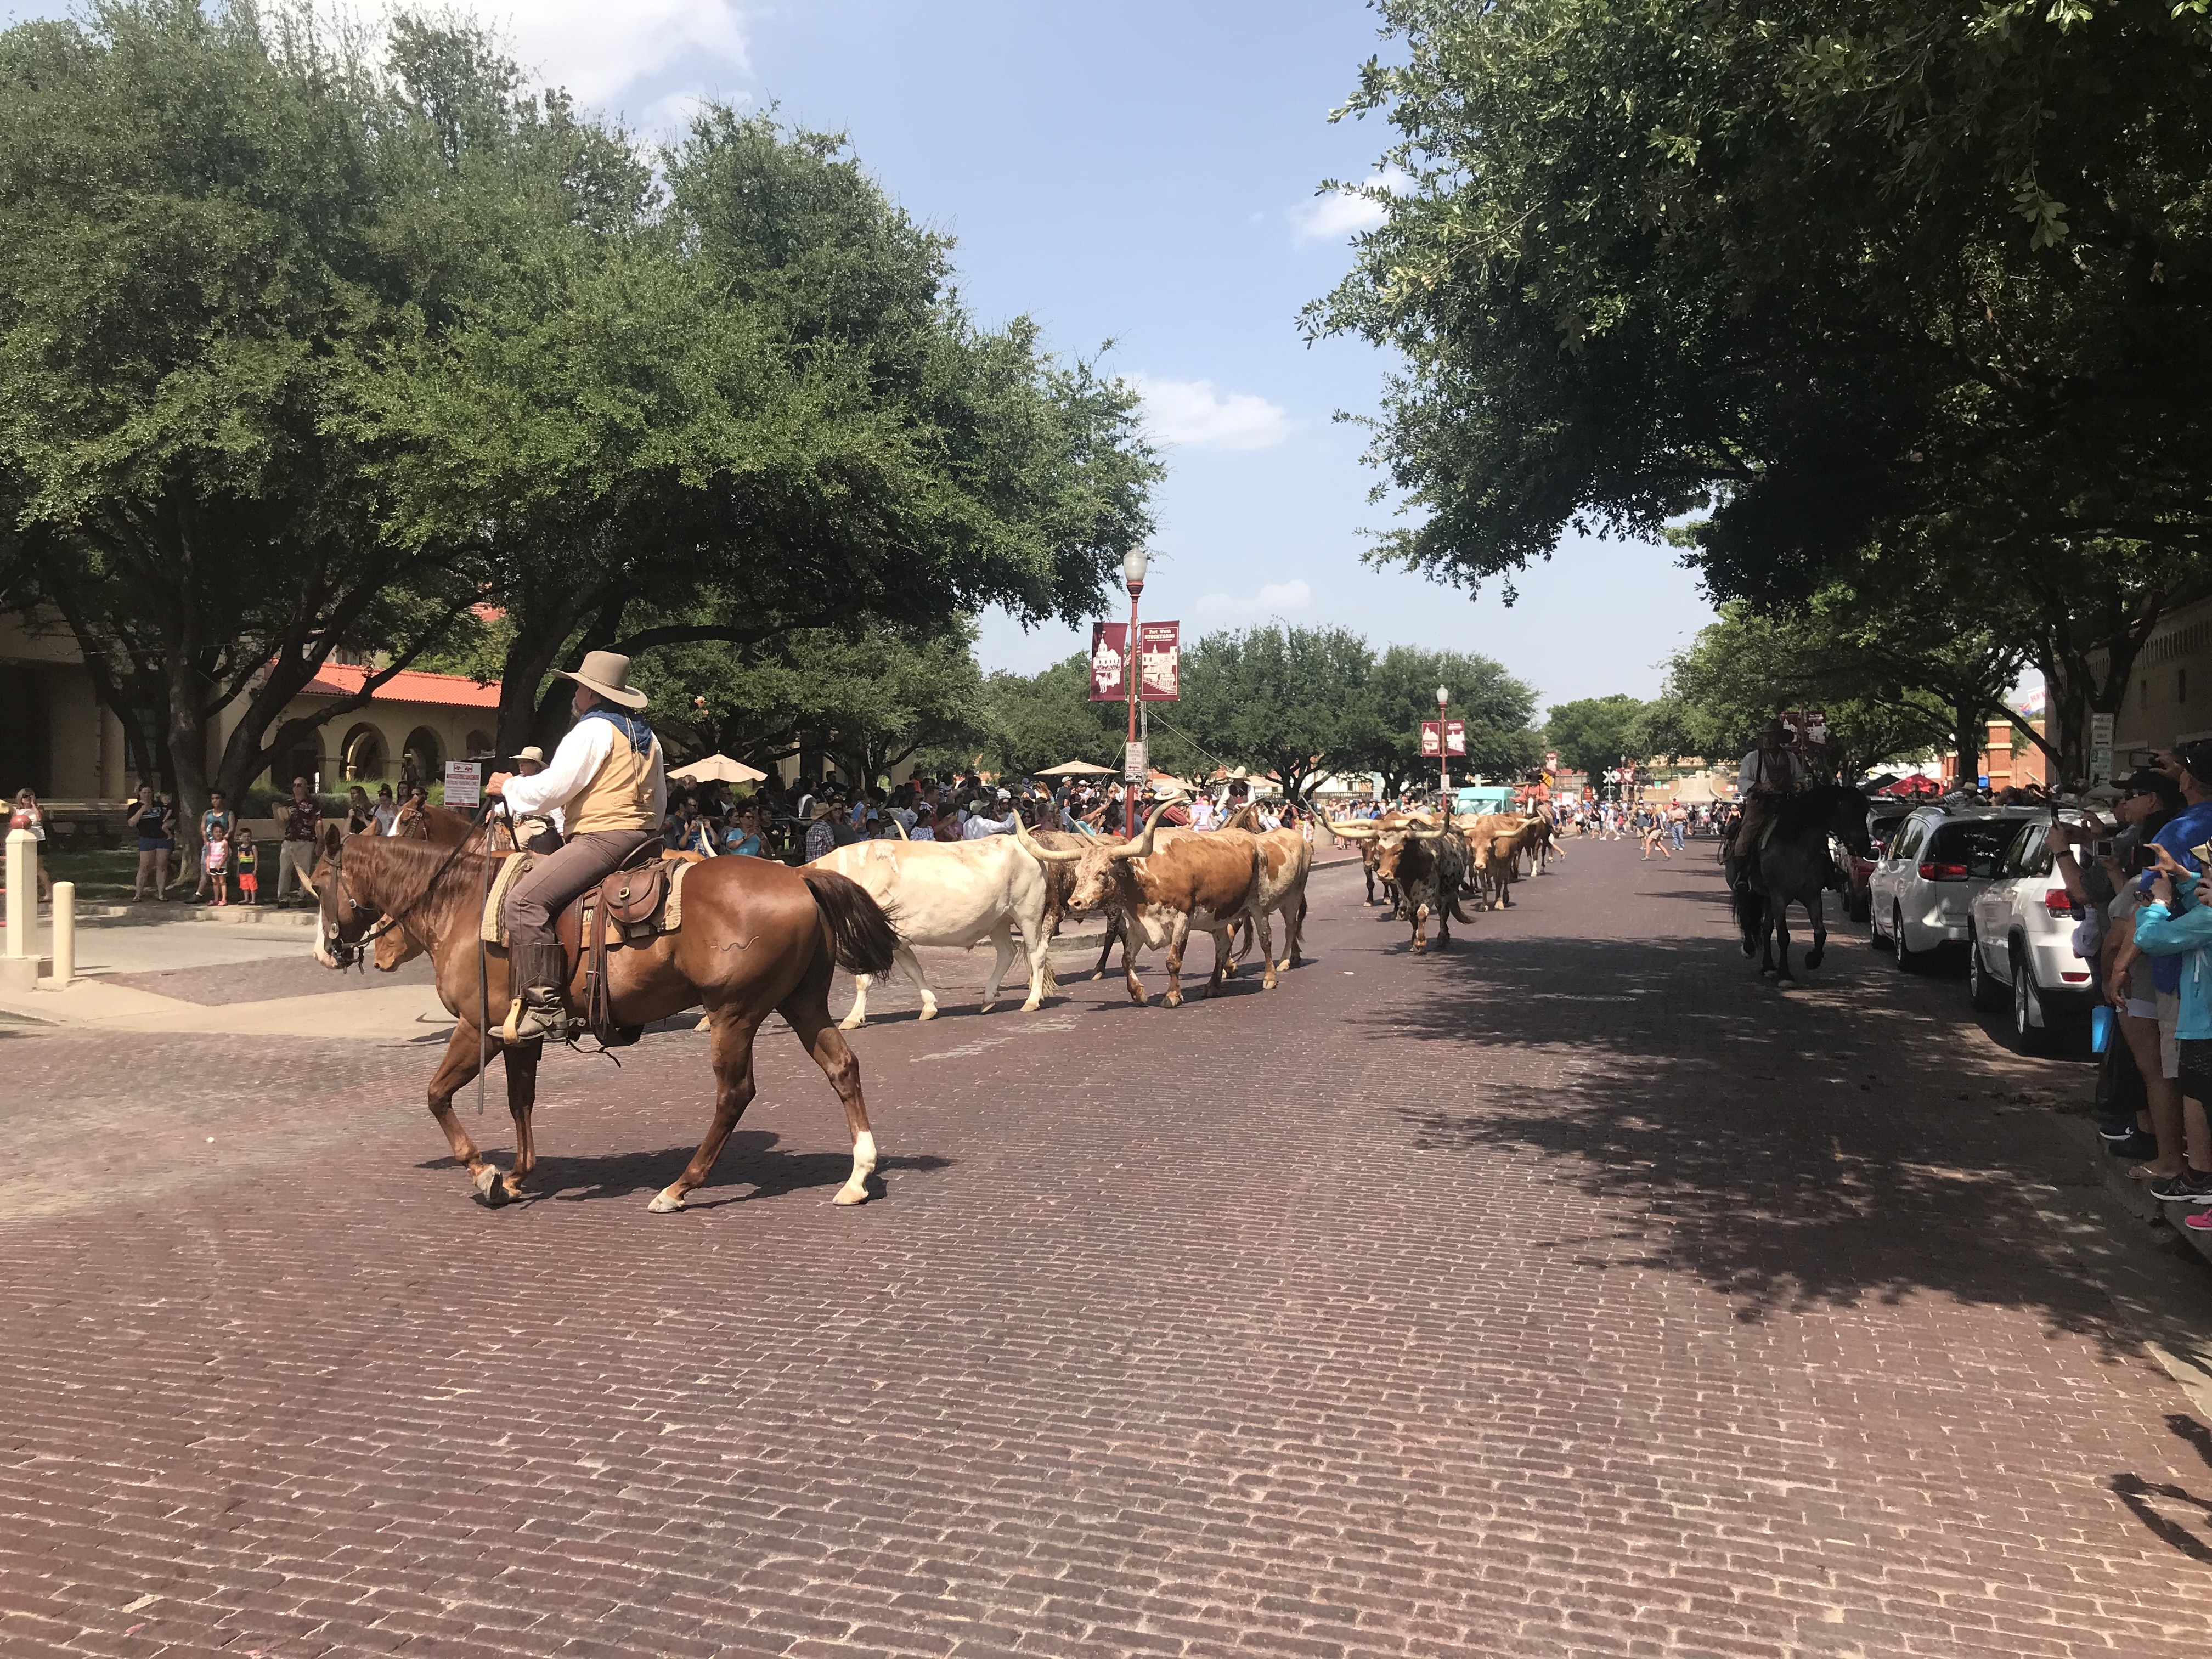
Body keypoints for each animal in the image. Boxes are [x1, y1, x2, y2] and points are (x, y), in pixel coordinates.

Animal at [314, 836, 898, 1212]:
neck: (463, 906)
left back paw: (679, 1188)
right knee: (842, 1067)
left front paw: (484, 1173)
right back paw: (858, 1177)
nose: (328, 953)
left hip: (733, 1014)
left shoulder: (477, 1030)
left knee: (735, 1094)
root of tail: (796, 874)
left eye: (320, 882)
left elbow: (437, 1096)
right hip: (802, 1004)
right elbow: (520, 1103)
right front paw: (517, 1175)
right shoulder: (517, 1037)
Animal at [1725, 787, 1867, 982]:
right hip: (1747, 890)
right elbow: (1784, 936)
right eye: (1849, 812)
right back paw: (1749, 949)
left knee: (1766, 928)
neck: (1797, 846)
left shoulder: (1812, 896)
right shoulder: (1779, 897)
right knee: (1747, 917)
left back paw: (1768, 966)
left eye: (1865, 813)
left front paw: (1812, 960)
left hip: (1768, 898)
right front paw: (1785, 974)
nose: (1866, 848)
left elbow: (1820, 932)